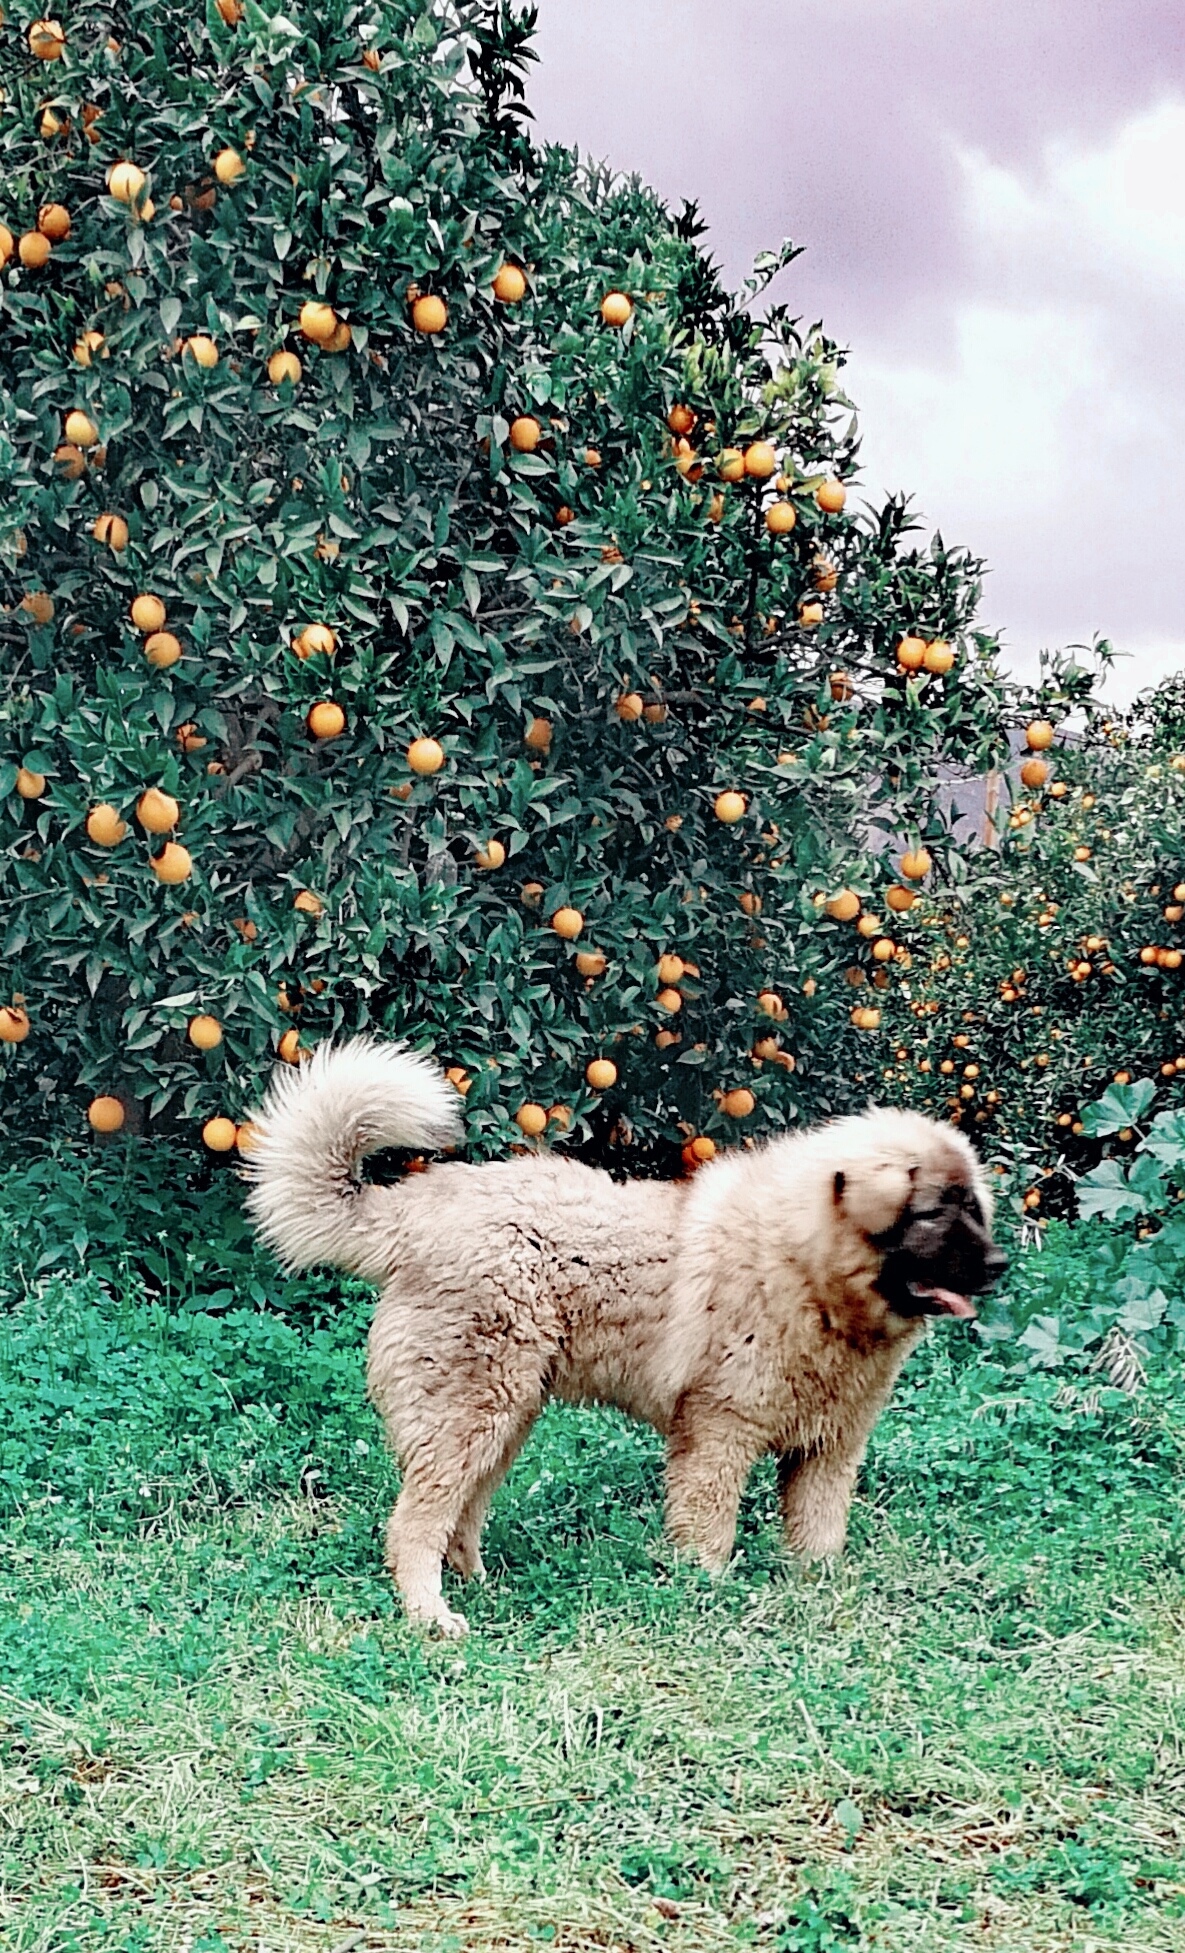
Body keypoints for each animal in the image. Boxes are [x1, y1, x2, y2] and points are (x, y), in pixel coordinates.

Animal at [245, 1038, 1007, 1632]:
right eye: (935, 1212)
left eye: (974, 1206)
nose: (1001, 1265)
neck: (805, 1266)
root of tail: (411, 1212)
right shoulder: (718, 1437)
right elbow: (709, 1535)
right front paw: (708, 1597)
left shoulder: (827, 1451)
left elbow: (818, 1544)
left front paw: (823, 1601)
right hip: (470, 1413)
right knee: (414, 1525)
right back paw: (432, 1617)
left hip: (502, 1419)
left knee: (458, 1518)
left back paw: (482, 1587)